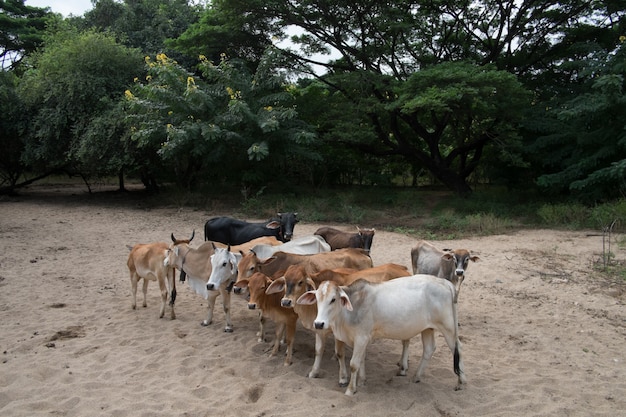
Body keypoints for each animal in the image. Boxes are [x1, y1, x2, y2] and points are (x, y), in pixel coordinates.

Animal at [296, 274, 464, 394]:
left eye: (333, 299)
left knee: (458, 349)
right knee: (429, 349)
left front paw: (350, 390)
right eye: (317, 299)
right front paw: (361, 382)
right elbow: (361, 360)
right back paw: (416, 377)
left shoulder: (361, 338)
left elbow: (354, 364)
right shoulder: (361, 339)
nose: (319, 324)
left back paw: (461, 381)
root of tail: (445, 282)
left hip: (449, 328)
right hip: (427, 328)